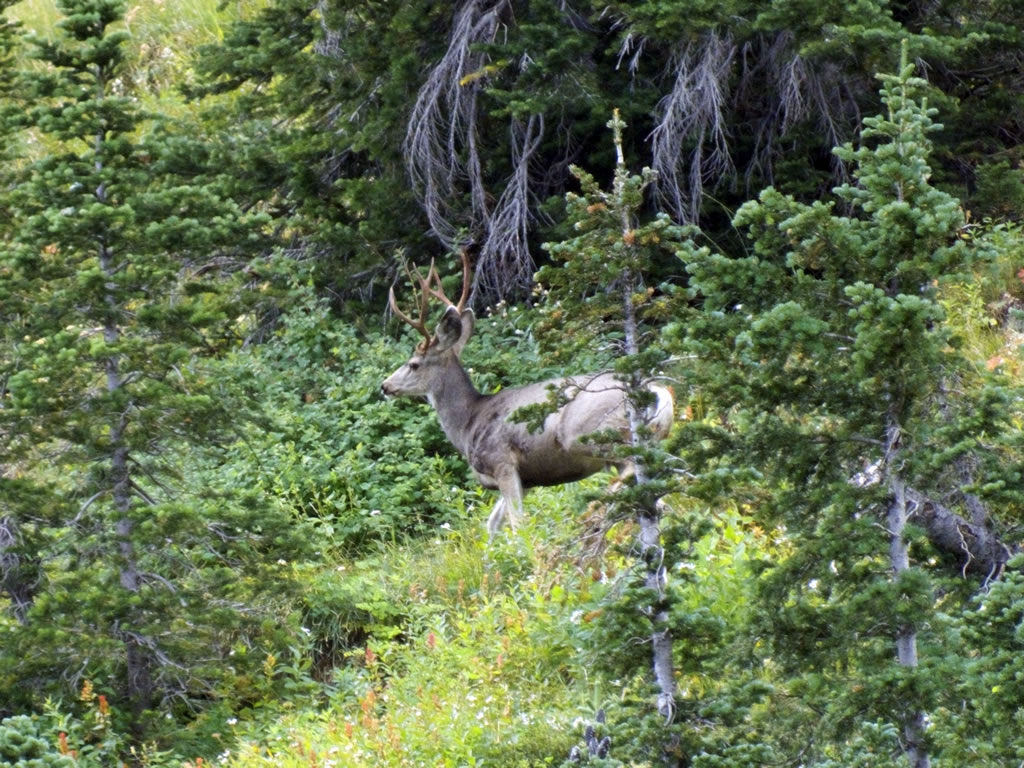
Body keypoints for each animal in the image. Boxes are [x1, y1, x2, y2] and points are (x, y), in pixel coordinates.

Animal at [380, 252, 674, 537]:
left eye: (413, 364)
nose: (385, 386)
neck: (467, 423)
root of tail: (657, 391)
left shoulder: (503, 462)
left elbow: (517, 524)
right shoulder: (528, 479)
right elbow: (493, 525)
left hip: (589, 434)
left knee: (630, 470)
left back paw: (595, 512)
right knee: (658, 497)